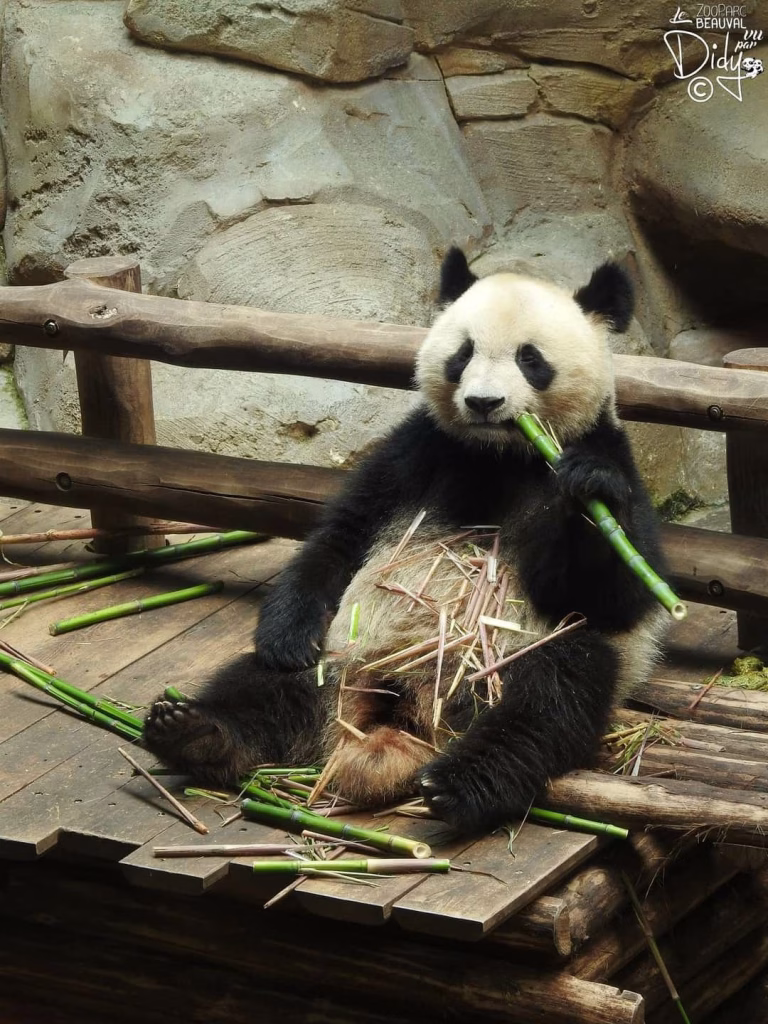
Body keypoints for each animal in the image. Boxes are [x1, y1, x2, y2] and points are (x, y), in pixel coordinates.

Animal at [143, 248, 668, 834]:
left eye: (530, 358)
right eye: (462, 353)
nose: (484, 402)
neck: (499, 455)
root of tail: (402, 715)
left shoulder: (605, 452)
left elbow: (615, 594)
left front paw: (587, 488)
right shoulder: (416, 453)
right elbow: (340, 537)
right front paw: (286, 634)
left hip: (512, 668)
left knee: (553, 693)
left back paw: (461, 784)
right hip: (341, 655)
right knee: (266, 685)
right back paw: (195, 732)